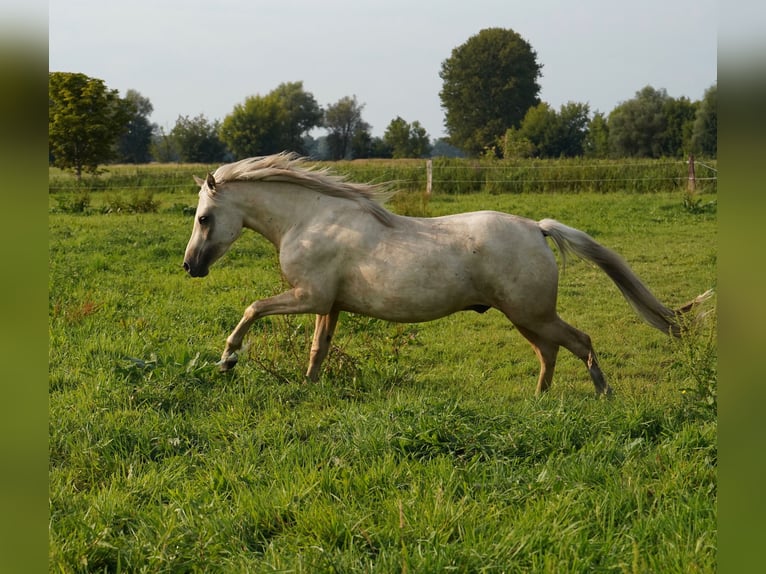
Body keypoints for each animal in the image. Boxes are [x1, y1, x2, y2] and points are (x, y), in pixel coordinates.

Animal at [183, 152, 712, 396]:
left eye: (204, 218)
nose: (190, 266)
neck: (309, 219)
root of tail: (537, 228)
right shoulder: (327, 304)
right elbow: (319, 348)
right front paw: (309, 386)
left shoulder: (307, 295)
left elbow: (252, 308)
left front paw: (227, 360)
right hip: (525, 317)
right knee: (549, 352)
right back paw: (539, 399)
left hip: (532, 312)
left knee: (579, 341)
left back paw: (602, 395)